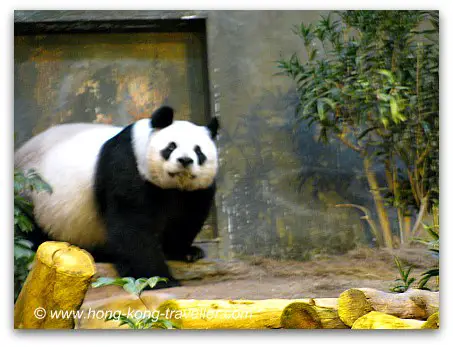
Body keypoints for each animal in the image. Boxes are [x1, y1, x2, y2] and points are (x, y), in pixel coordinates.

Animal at [14, 106, 219, 290]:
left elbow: (186, 219)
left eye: (198, 151)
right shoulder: (125, 166)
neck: (173, 185)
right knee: (30, 229)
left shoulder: (194, 192)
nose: (185, 160)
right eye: (171, 146)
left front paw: (185, 252)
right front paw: (159, 280)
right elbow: (132, 226)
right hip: (31, 194)